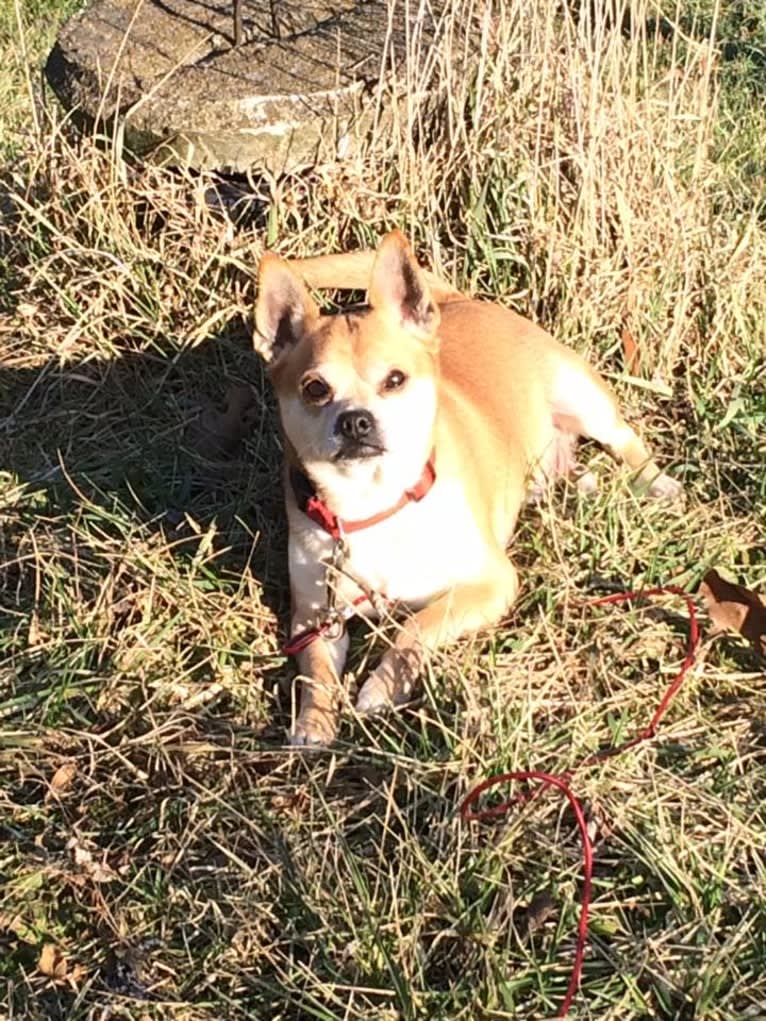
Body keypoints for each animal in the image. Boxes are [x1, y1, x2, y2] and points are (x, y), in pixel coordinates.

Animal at [255, 229, 682, 743]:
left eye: (395, 380)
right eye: (315, 388)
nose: (356, 420)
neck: (377, 505)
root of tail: (457, 301)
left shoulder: (490, 584)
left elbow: (417, 625)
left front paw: (381, 688)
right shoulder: (317, 617)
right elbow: (316, 672)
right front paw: (313, 722)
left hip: (582, 397)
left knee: (624, 439)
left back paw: (655, 484)